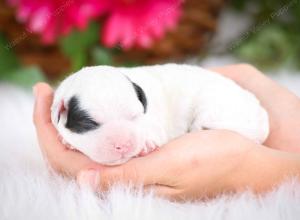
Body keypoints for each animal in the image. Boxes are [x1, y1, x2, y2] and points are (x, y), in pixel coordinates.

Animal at [51, 63, 270, 165]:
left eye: (135, 117)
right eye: (90, 123)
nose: (123, 145)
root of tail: (262, 117)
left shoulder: (153, 119)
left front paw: (146, 144)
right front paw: (68, 141)